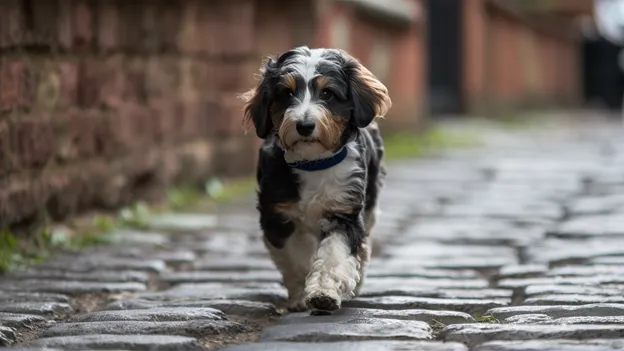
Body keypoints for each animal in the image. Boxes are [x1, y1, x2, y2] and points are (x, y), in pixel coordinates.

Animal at [243, 46, 392, 314]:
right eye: (287, 93)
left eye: (328, 93)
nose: (304, 126)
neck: (313, 163)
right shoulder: (277, 217)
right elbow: (295, 257)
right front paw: (302, 295)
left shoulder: (343, 211)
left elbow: (334, 254)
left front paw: (324, 293)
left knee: (364, 242)